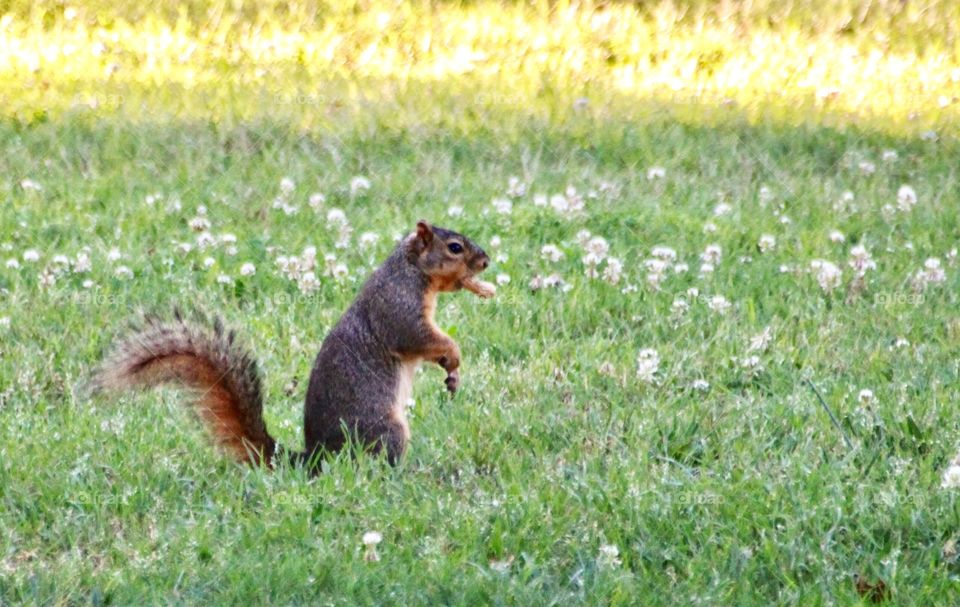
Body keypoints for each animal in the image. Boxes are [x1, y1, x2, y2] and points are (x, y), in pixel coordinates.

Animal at [92, 222, 496, 470]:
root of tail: (315, 457)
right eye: (455, 247)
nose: (486, 261)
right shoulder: (398, 307)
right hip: (386, 430)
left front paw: (452, 374)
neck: (410, 269)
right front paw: (453, 354)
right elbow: (417, 337)